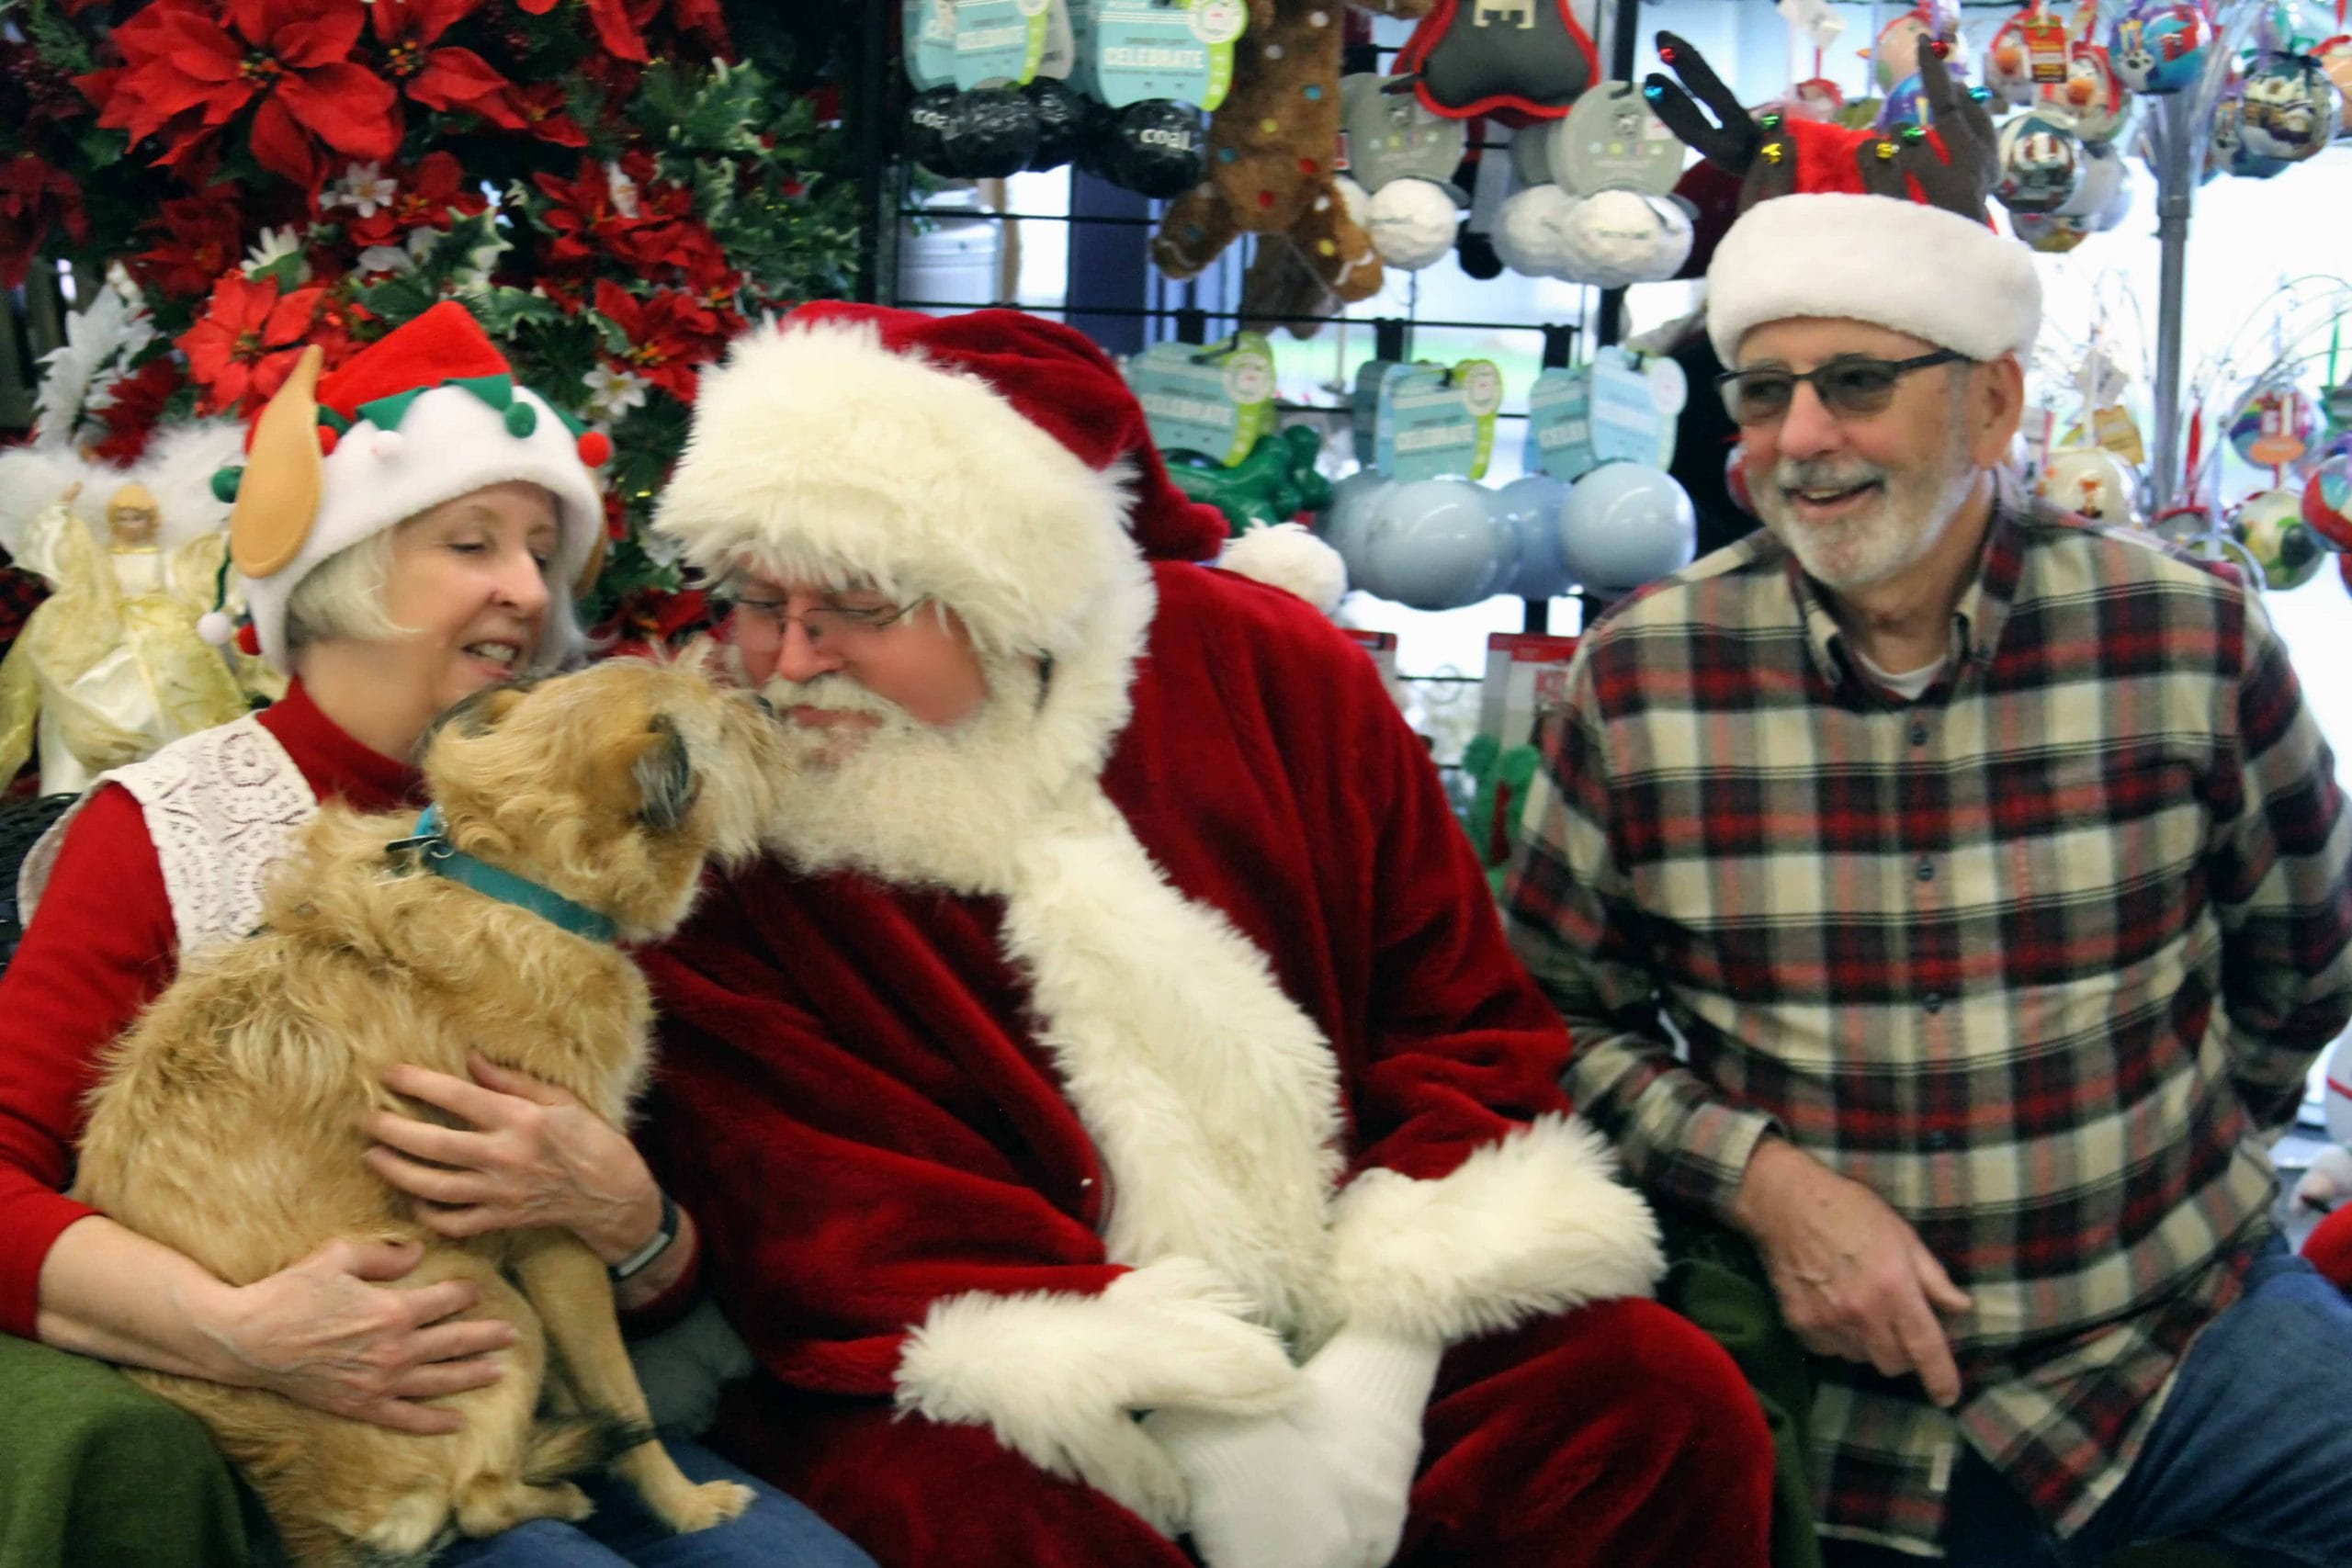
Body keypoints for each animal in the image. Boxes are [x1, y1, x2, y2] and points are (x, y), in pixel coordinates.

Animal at [74, 658, 786, 1568]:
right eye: (723, 723)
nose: (769, 701)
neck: (511, 881)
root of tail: (309, 1520)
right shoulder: (553, 1230)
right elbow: (626, 1397)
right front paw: (686, 1504)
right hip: (486, 1303)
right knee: (480, 1499)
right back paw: (560, 1486)